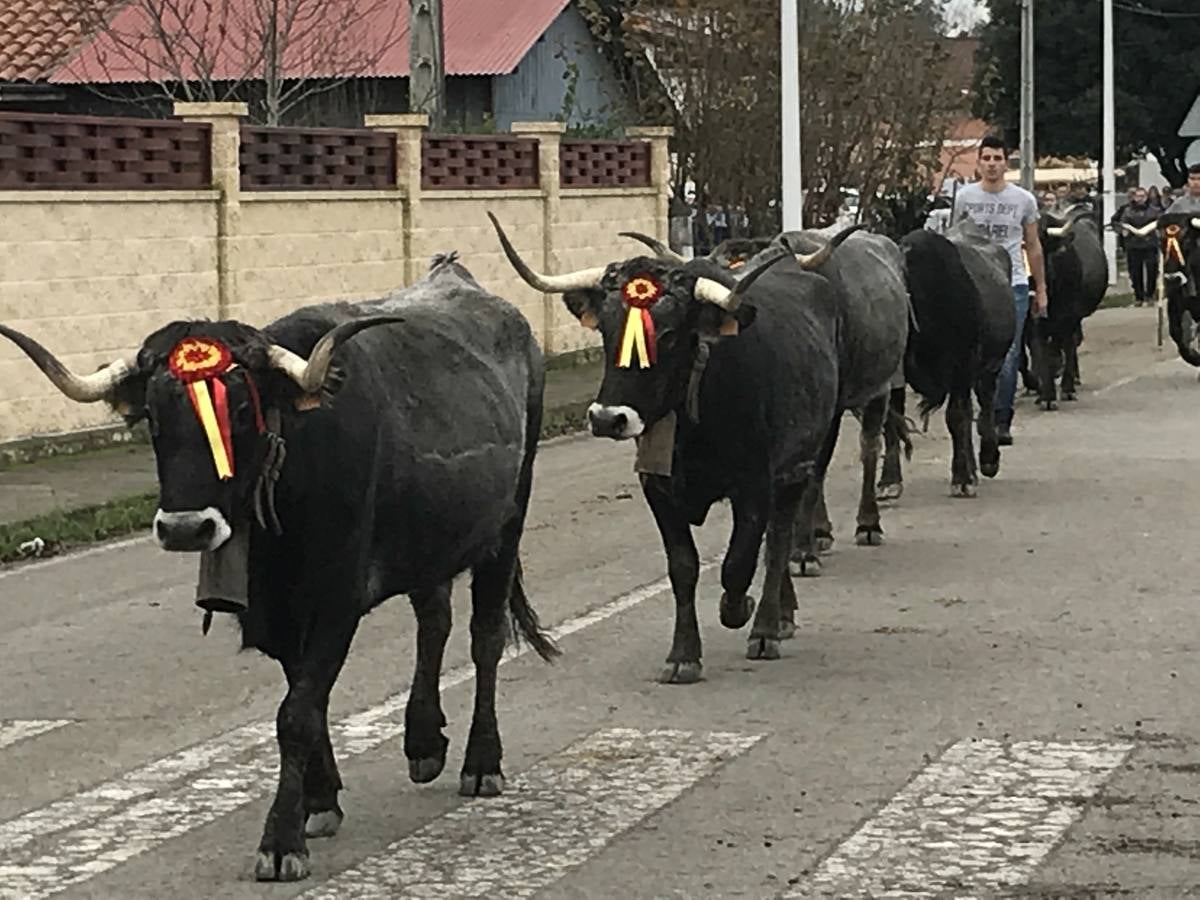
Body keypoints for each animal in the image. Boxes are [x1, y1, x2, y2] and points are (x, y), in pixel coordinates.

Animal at [0, 254, 556, 883]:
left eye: (242, 410)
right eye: (153, 416)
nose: (186, 528)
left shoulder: (336, 599)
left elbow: (296, 713)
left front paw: (281, 838)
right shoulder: (282, 614)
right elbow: (306, 699)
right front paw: (320, 799)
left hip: (505, 526)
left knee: (485, 637)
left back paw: (481, 761)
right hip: (431, 539)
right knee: (433, 620)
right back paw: (423, 743)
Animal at [492, 214, 849, 681]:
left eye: (669, 335)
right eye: (606, 330)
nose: (607, 418)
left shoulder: (754, 486)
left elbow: (738, 563)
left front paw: (738, 610)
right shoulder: (657, 488)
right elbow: (683, 567)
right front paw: (683, 655)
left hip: (799, 465)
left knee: (779, 540)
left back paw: (769, 626)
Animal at [888, 219, 1017, 501]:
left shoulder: (962, 363)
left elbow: (956, 417)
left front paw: (962, 479)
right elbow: (892, 419)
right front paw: (889, 482)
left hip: (989, 367)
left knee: (984, 407)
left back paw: (987, 460)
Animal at [1027, 210, 1108, 408]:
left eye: (1040, 244)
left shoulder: (1068, 316)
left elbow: (1060, 346)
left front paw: (1062, 384)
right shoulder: (1034, 320)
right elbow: (1040, 350)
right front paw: (1046, 396)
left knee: (1070, 343)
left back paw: (1070, 384)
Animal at [1156, 212, 1200, 367]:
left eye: (1186, 240)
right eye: (1160, 241)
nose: (1172, 279)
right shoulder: (1175, 302)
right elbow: (1176, 333)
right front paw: (1193, 356)